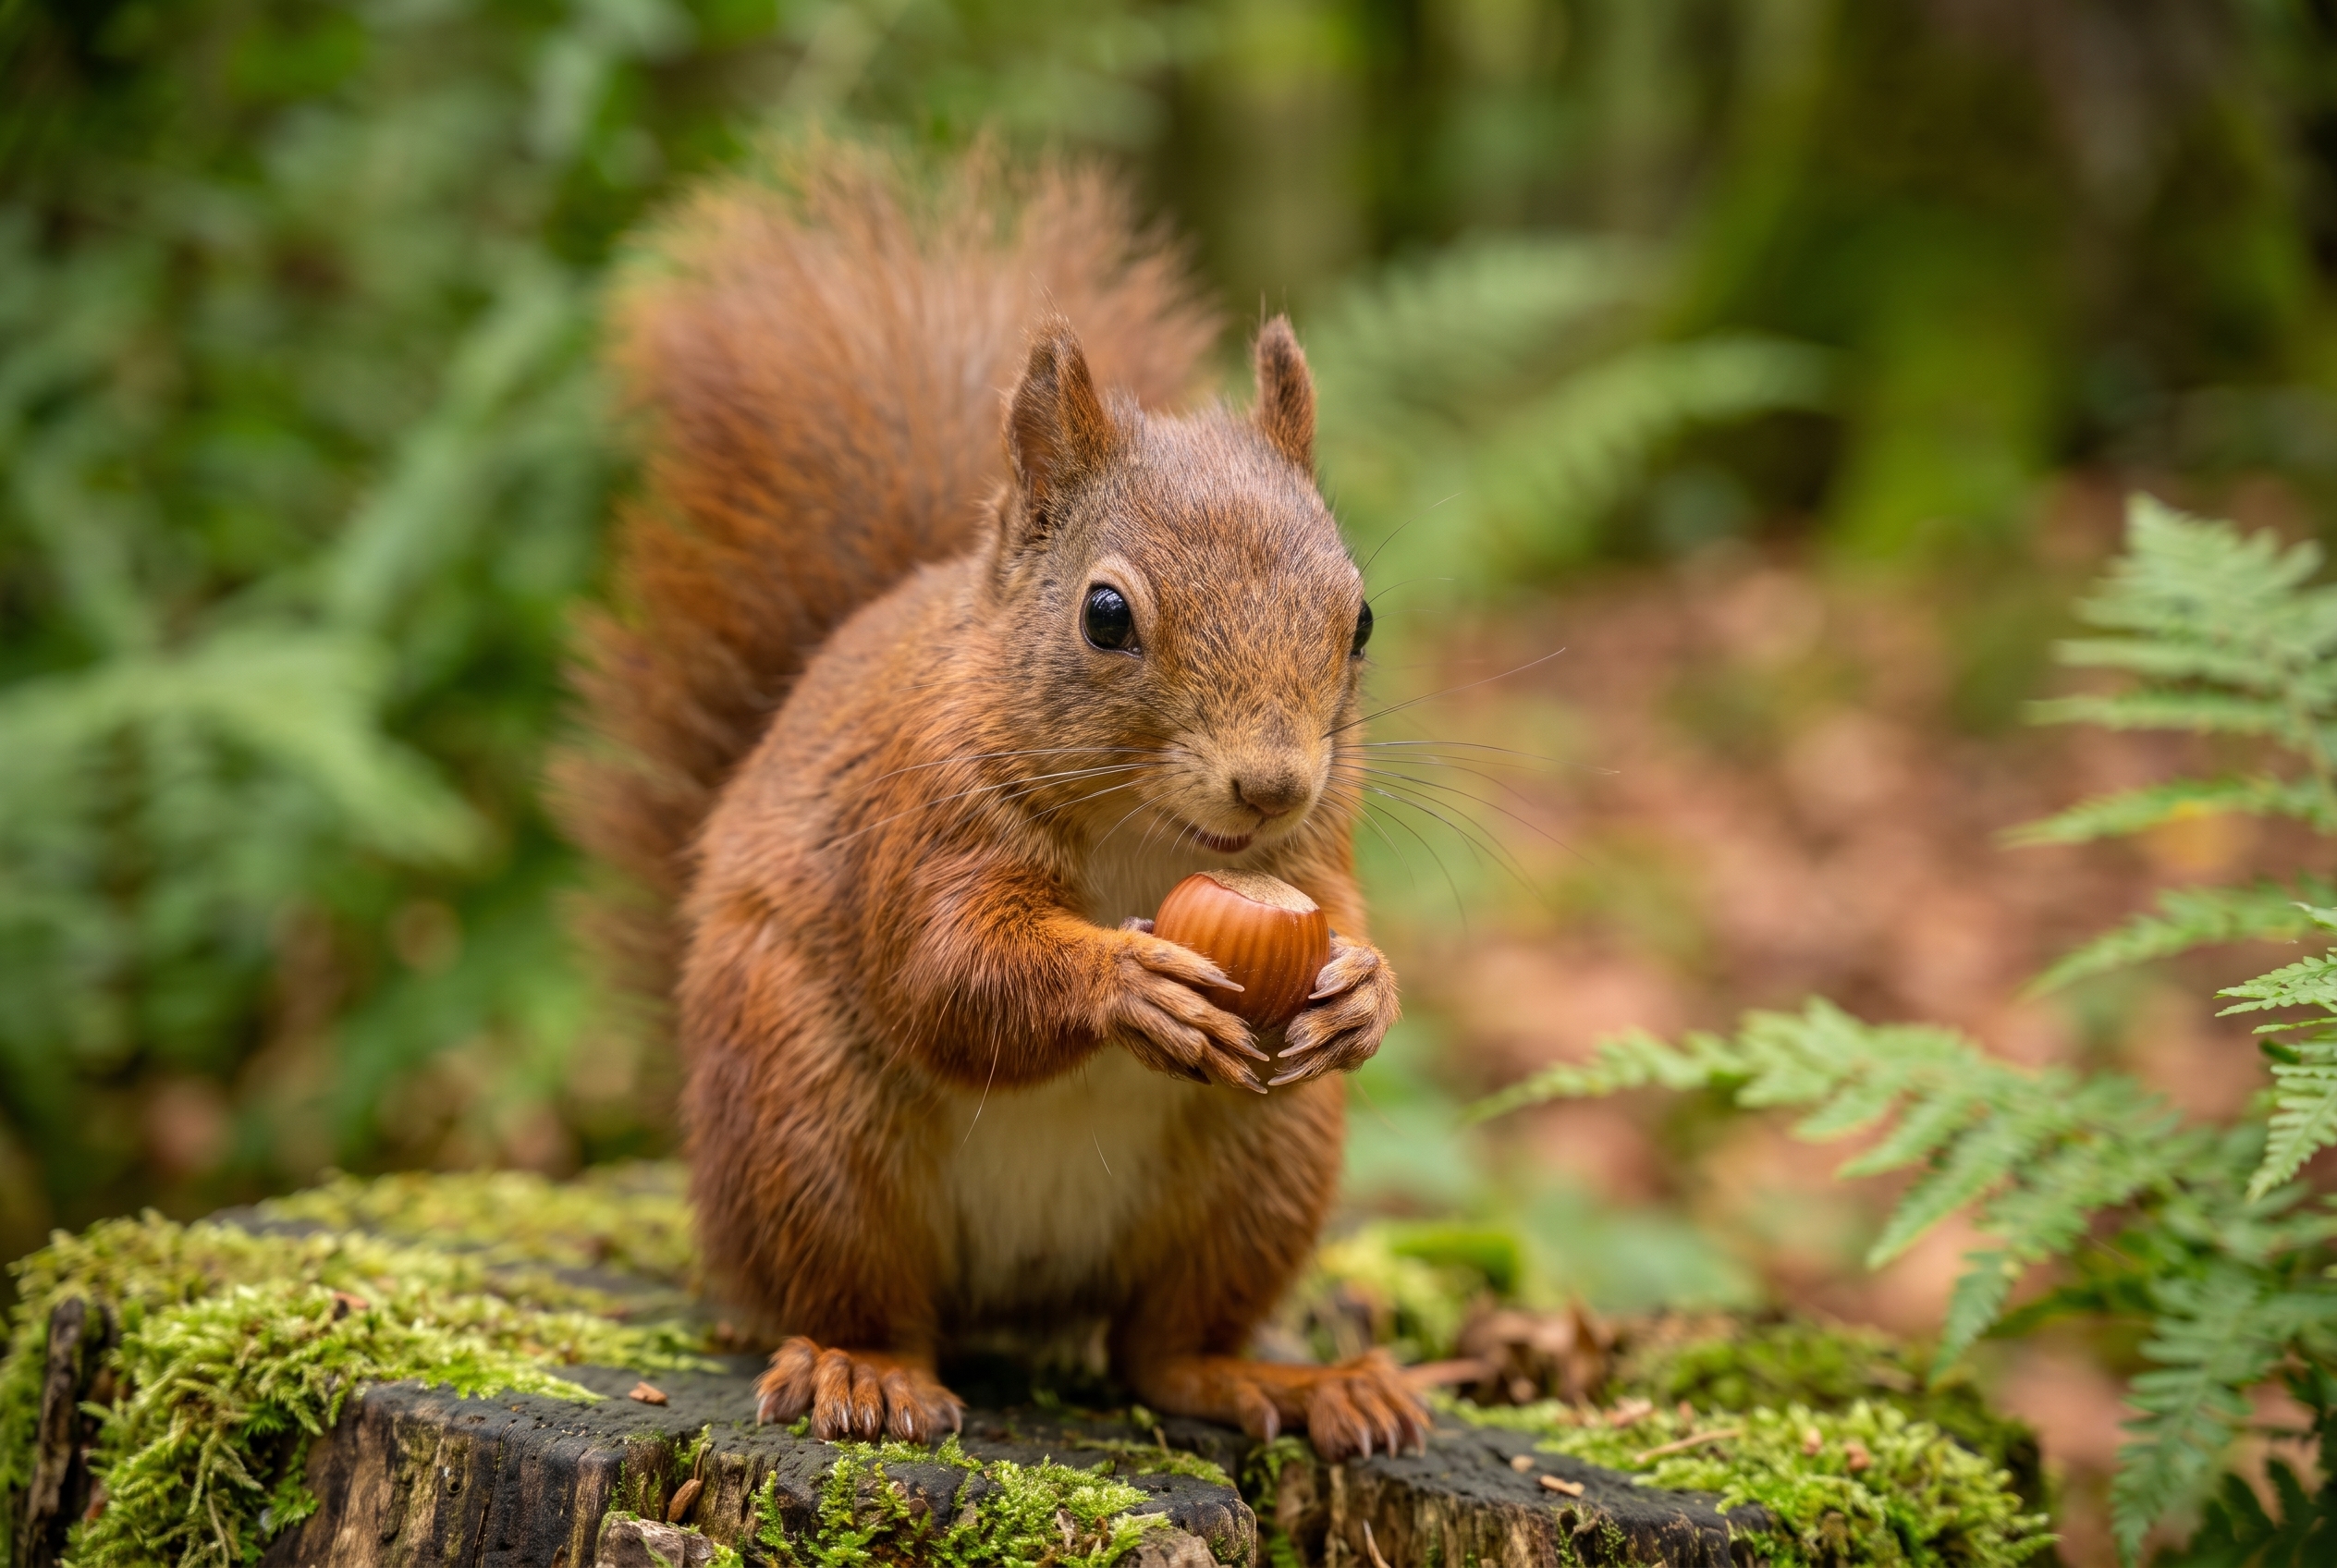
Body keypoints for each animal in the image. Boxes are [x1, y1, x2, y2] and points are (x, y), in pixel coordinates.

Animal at [556, 143, 1424, 1461]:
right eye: (1105, 614)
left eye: (1361, 619)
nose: (1270, 782)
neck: (1147, 839)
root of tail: (1017, 1296)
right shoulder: (924, 817)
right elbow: (946, 971)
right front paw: (1126, 981)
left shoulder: (1313, 860)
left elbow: (1342, 924)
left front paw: (1364, 992)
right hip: (806, 1118)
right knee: (860, 1296)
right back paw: (861, 1370)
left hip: (1265, 1161)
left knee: (1160, 1348)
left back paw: (1287, 1380)